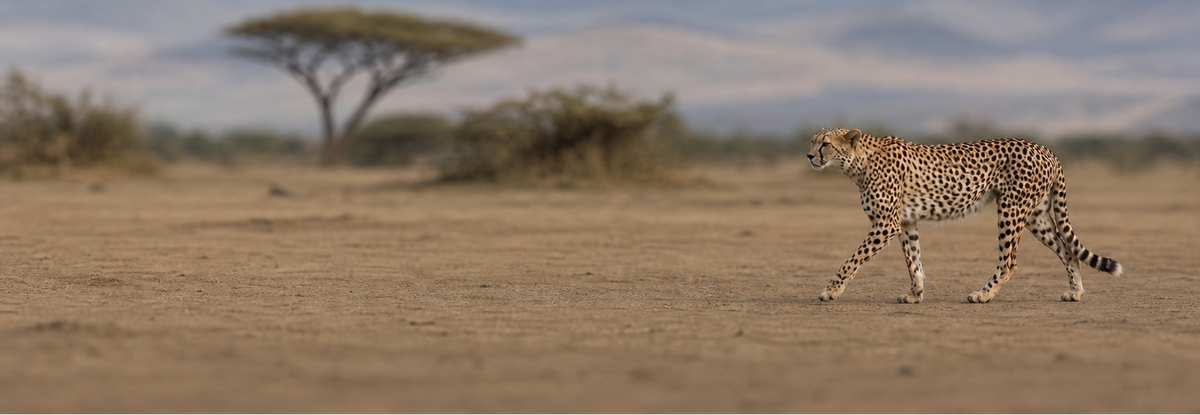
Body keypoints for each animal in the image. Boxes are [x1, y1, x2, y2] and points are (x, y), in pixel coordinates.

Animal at [806, 127, 1121, 304]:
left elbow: (852, 260)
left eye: (825, 144)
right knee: (1067, 250)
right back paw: (1076, 292)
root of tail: (1044, 148)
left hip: (1011, 210)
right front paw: (915, 295)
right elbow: (913, 261)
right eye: (812, 141)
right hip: (1036, 216)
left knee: (1009, 261)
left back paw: (983, 294)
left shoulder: (886, 224)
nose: (809, 156)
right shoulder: (905, 222)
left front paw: (831, 291)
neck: (857, 162)